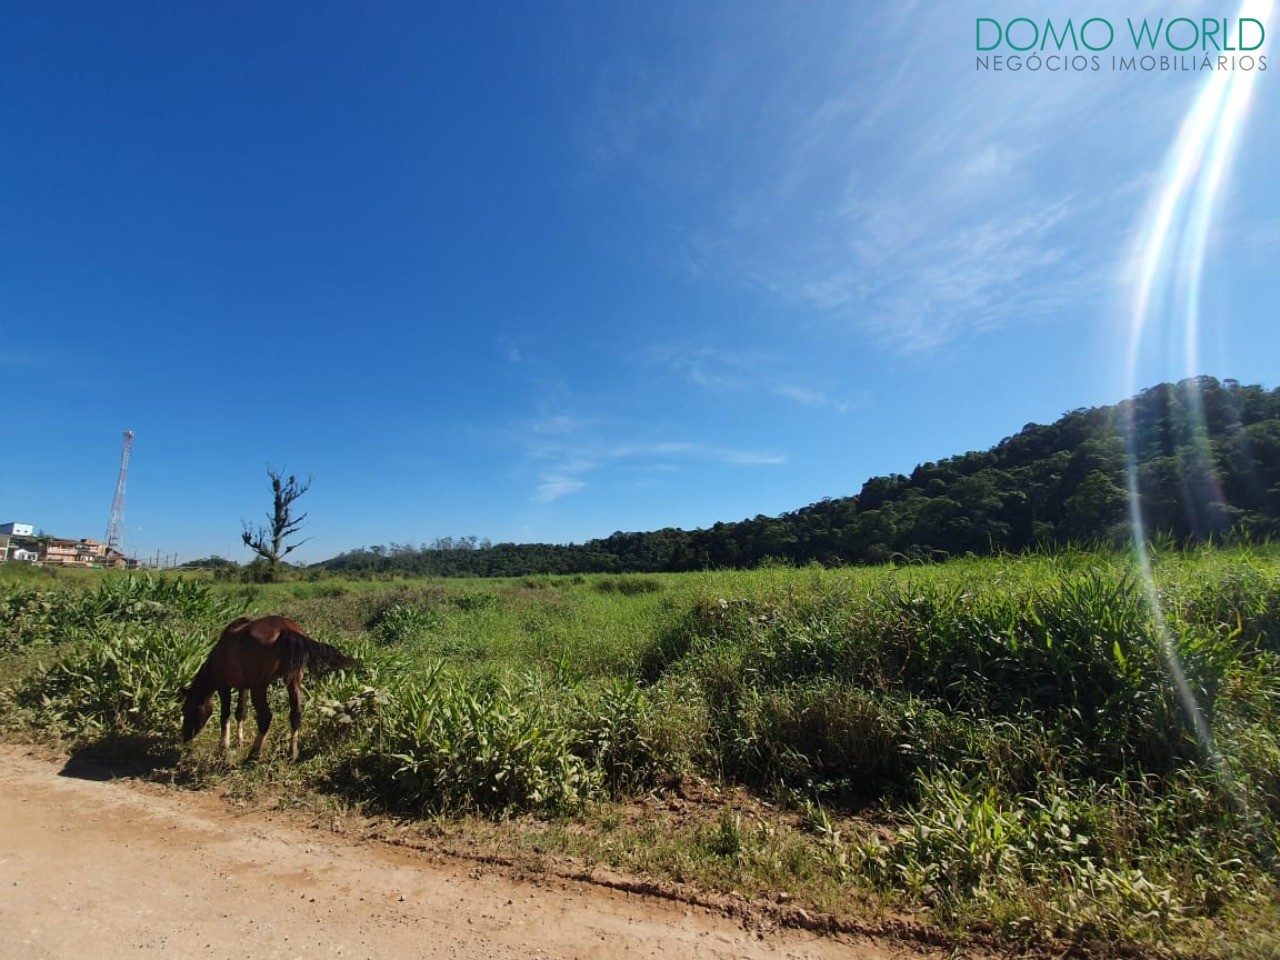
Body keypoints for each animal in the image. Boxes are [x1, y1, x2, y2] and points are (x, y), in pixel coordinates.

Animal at [180, 619, 355, 762]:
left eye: (186, 710)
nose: (185, 737)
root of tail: (286, 629)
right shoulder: (244, 686)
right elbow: (240, 713)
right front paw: (239, 741)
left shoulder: (224, 685)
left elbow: (225, 715)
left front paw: (224, 747)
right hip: (294, 679)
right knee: (296, 714)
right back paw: (293, 753)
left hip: (260, 687)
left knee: (265, 717)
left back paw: (253, 755)